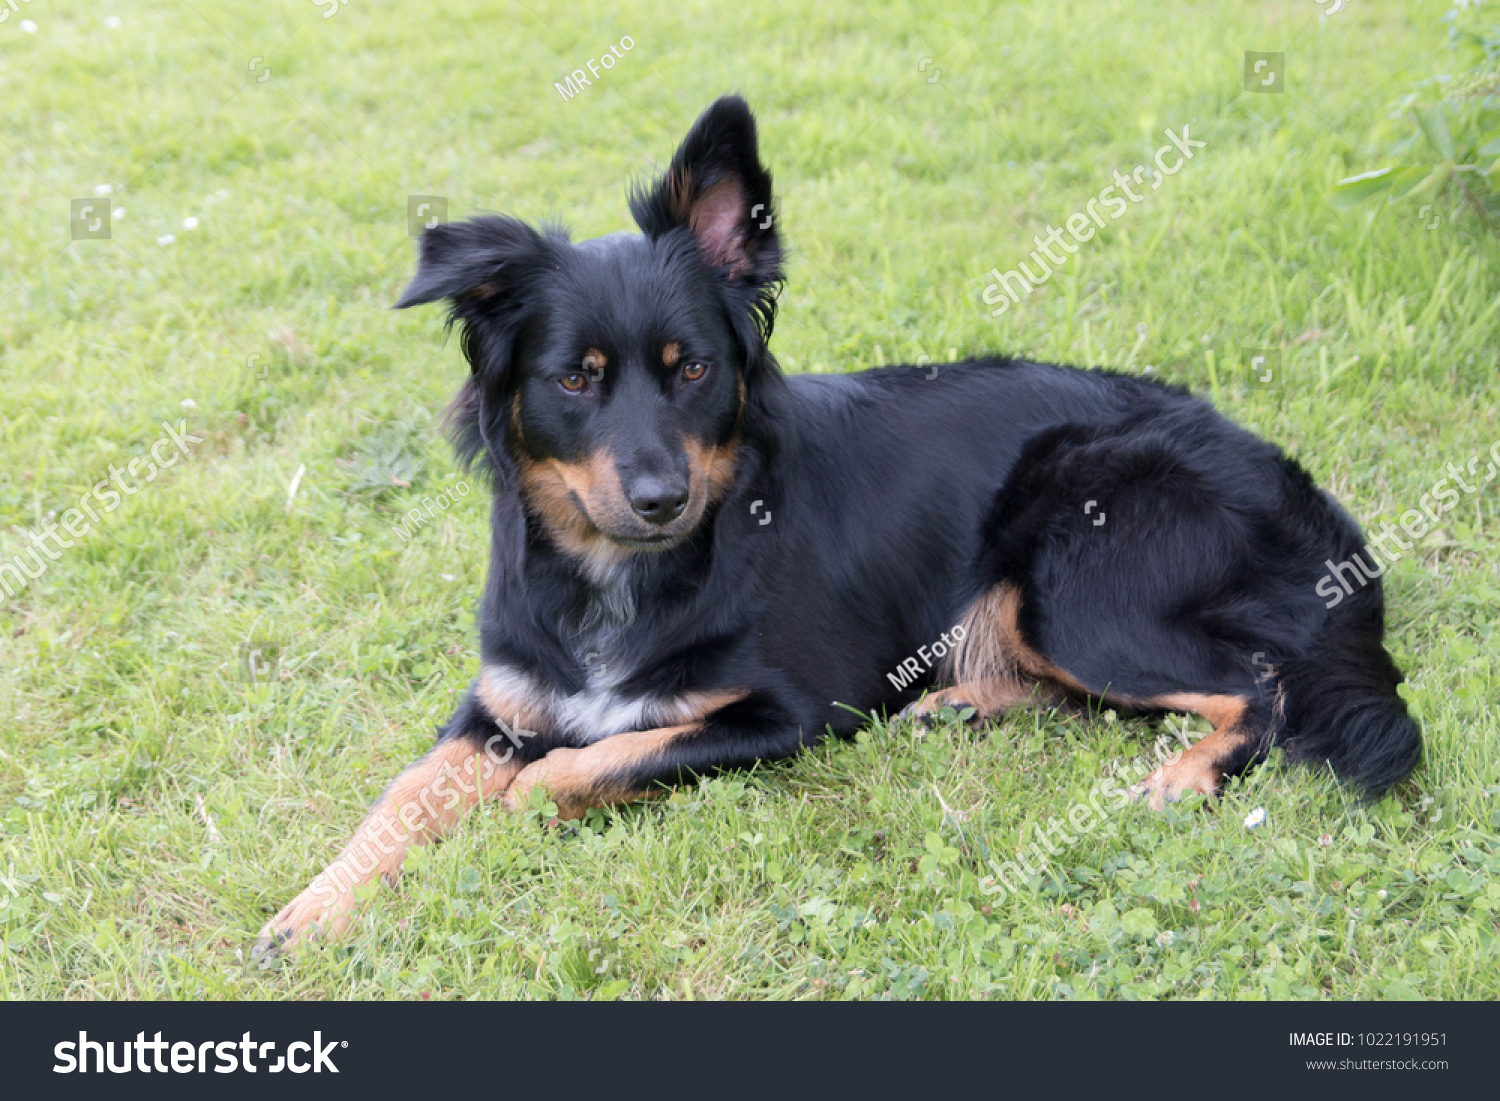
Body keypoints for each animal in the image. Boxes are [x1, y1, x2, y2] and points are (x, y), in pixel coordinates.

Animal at [255, 96, 1416, 960]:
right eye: (574, 380)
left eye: (692, 368)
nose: (661, 497)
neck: (626, 573)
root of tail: (1295, 485)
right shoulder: (496, 703)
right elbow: (401, 798)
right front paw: (312, 908)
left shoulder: (787, 714)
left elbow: (592, 760)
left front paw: (512, 813)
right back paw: (963, 706)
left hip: (1071, 575)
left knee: (1257, 685)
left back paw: (1179, 776)